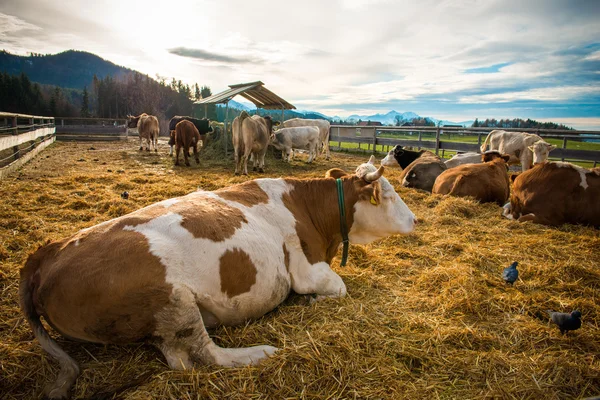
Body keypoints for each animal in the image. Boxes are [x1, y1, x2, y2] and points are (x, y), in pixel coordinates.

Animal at [18, 156, 418, 400]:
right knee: (200, 356)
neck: (310, 209)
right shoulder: (308, 269)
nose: (416, 219)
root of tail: (44, 254)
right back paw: (260, 352)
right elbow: (338, 287)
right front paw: (313, 300)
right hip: (173, 301)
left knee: (179, 357)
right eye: (388, 194)